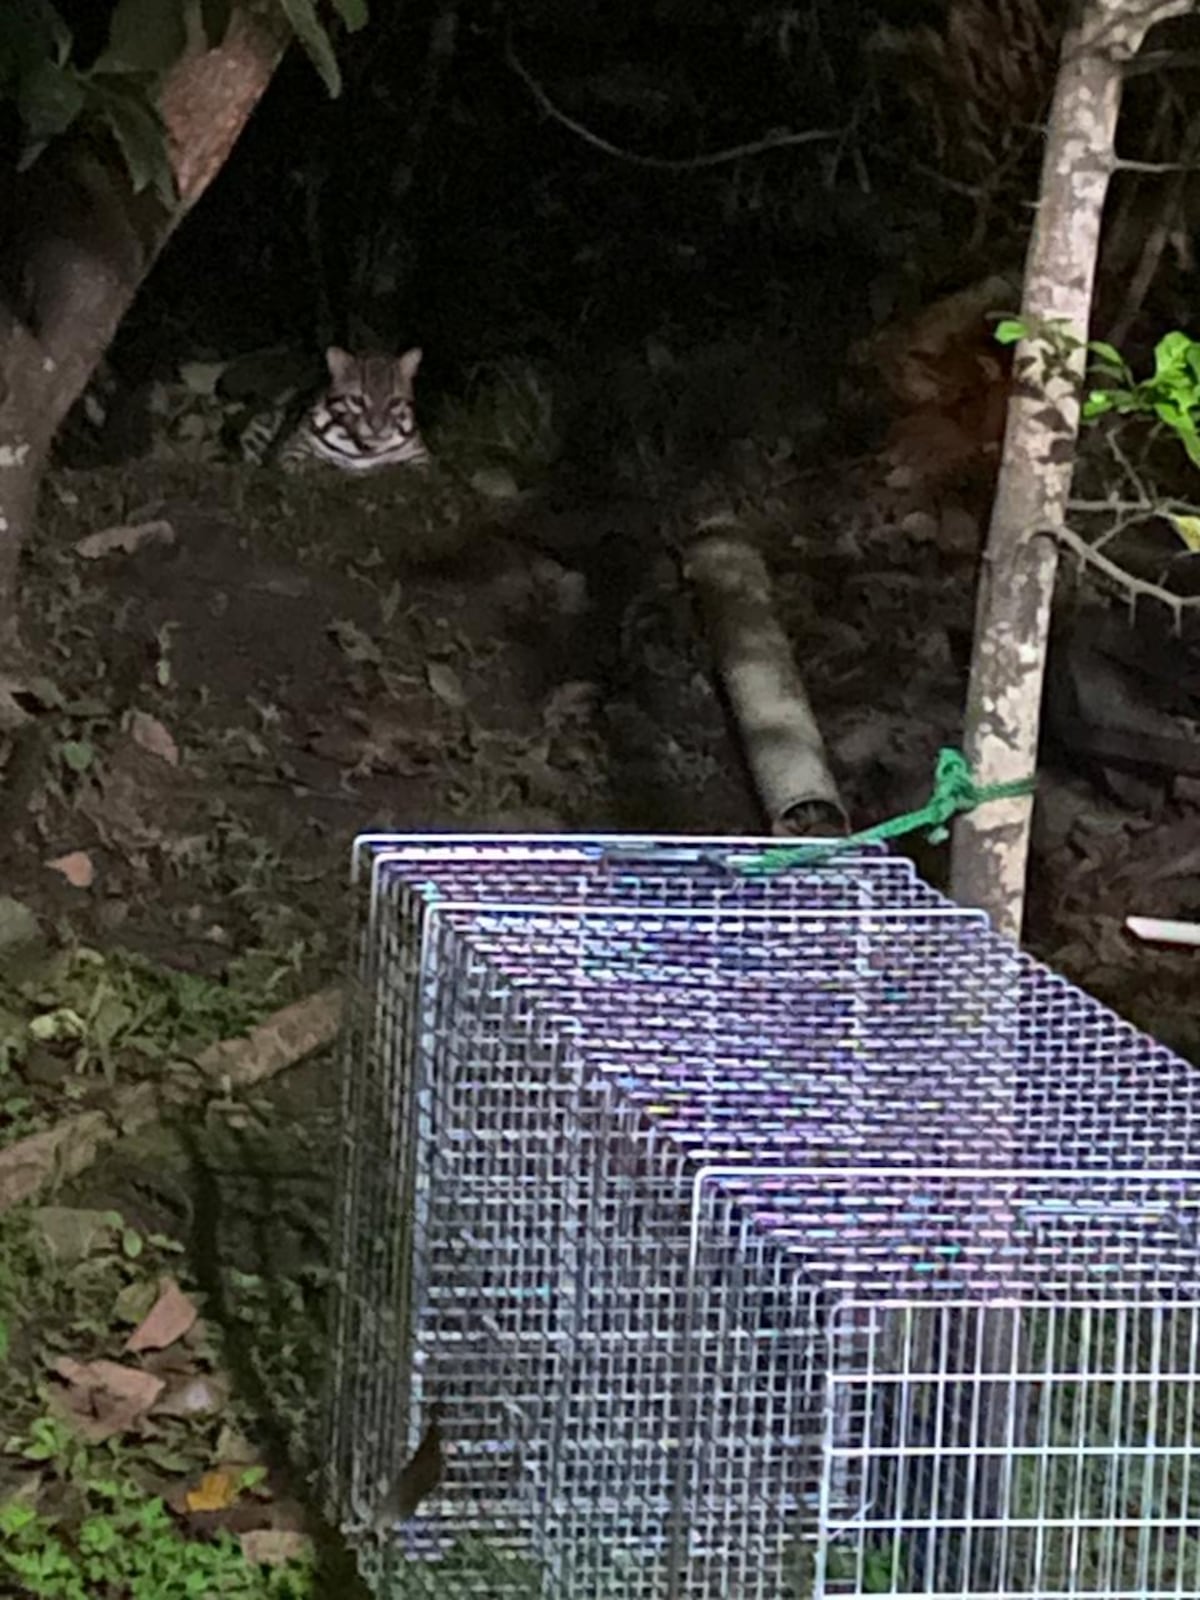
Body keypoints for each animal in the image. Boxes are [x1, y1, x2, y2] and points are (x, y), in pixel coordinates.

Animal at [244, 347, 432, 470]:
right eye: (357, 400)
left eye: (395, 402)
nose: (377, 427)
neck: (364, 450)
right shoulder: (292, 451)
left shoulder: (420, 457)